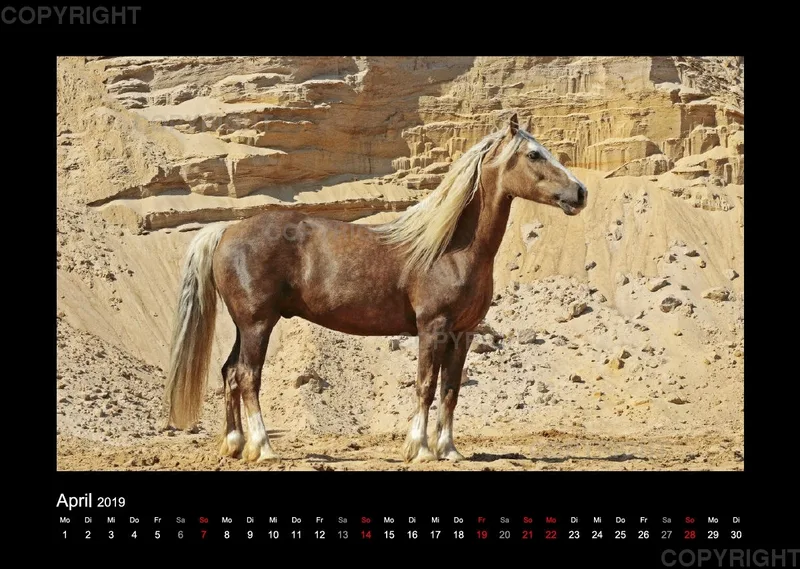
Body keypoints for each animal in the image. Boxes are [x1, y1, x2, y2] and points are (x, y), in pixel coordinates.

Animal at [163, 113, 587, 464]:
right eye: (534, 155)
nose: (580, 192)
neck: (451, 246)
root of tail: (227, 230)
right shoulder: (432, 328)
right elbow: (425, 386)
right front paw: (419, 450)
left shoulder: (462, 333)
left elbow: (450, 390)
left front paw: (449, 450)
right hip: (257, 324)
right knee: (248, 376)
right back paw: (264, 448)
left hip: (246, 325)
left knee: (230, 373)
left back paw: (235, 445)